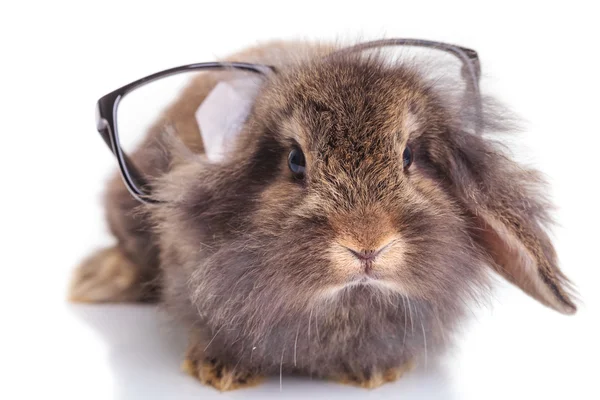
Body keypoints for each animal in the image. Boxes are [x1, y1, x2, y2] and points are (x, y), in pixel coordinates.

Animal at [70, 39, 576, 390]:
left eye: (409, 156)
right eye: (296, 161)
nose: (367, 244)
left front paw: (376, 373)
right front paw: (221, 371)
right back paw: (95, 281)